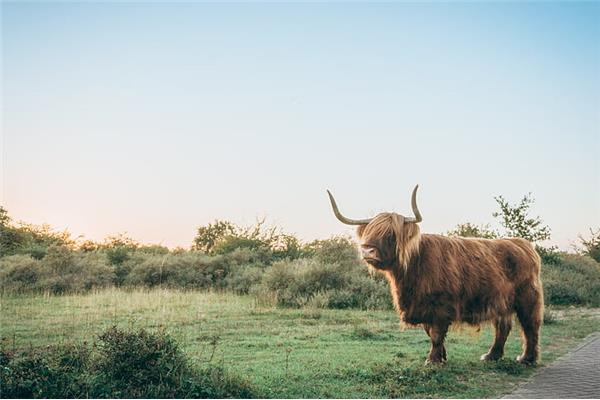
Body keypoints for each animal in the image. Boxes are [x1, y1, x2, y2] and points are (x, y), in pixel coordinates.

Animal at [328, 186, 544, 364]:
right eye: (369, 232)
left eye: (390, 235)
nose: (367, 250)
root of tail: (522, 243)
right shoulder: (422, 306)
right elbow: (430, 332)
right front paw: (442, 357)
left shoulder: (441, 306)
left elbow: (436, 334)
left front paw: (432, 360)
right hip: (501, 300)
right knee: (503, 327)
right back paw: (492, 355)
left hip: (527, 297)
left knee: (530, 325)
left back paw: (527, 358)